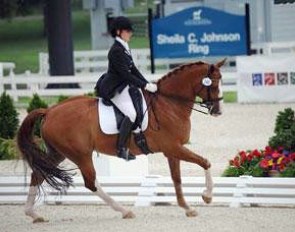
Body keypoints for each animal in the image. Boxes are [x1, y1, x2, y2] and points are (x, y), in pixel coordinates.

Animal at [17, 59, 225, 223]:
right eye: (213, 84)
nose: (218, 111)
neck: (169, 104)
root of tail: (49, 110)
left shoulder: (172, 151)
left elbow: (177, 179)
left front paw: (187, 208)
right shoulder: (173, 147)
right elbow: (205, 162)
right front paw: (207, 196)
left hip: (58, 153)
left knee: (37, 175)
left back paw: (33, 214)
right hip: (80, 155)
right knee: (91, 183)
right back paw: (125, 211)